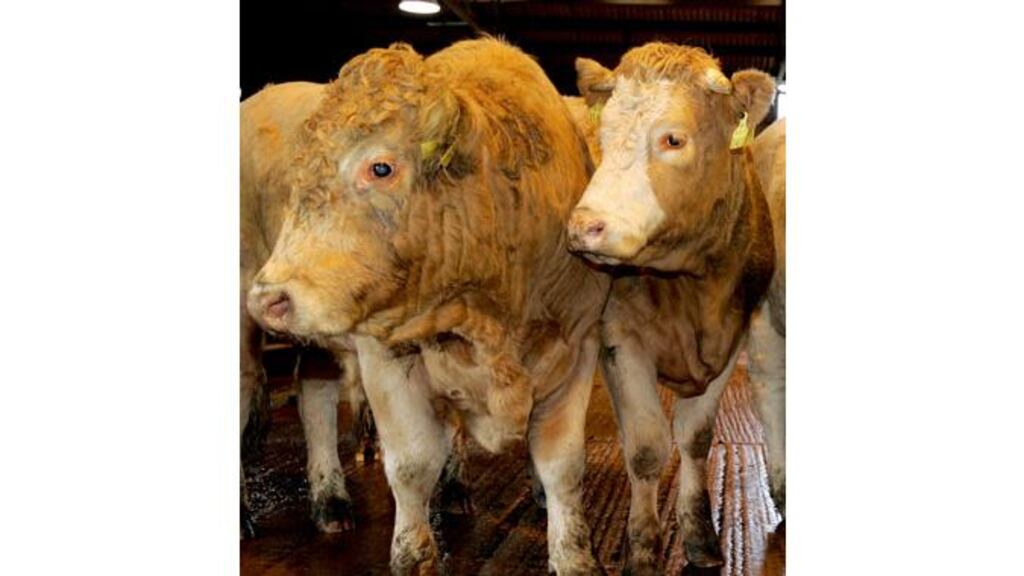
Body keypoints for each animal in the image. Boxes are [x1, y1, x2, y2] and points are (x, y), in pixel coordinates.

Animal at [246, 39, 610, 575]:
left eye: (380, 166)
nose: (270, 298)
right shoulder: (383, 355)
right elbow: (413, 464)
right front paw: (413, 554)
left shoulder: (577, 347)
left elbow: (562, 466)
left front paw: (574, 557)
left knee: (315, 393)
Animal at [566, 44, 785, 572]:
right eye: (603, 136)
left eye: (673, 139)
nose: (584, 226)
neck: (690, 290)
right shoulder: (621, 340)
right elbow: (647, 448)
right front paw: (643, 546)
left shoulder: (730, 341)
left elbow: (695, 439)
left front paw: (701, 536)